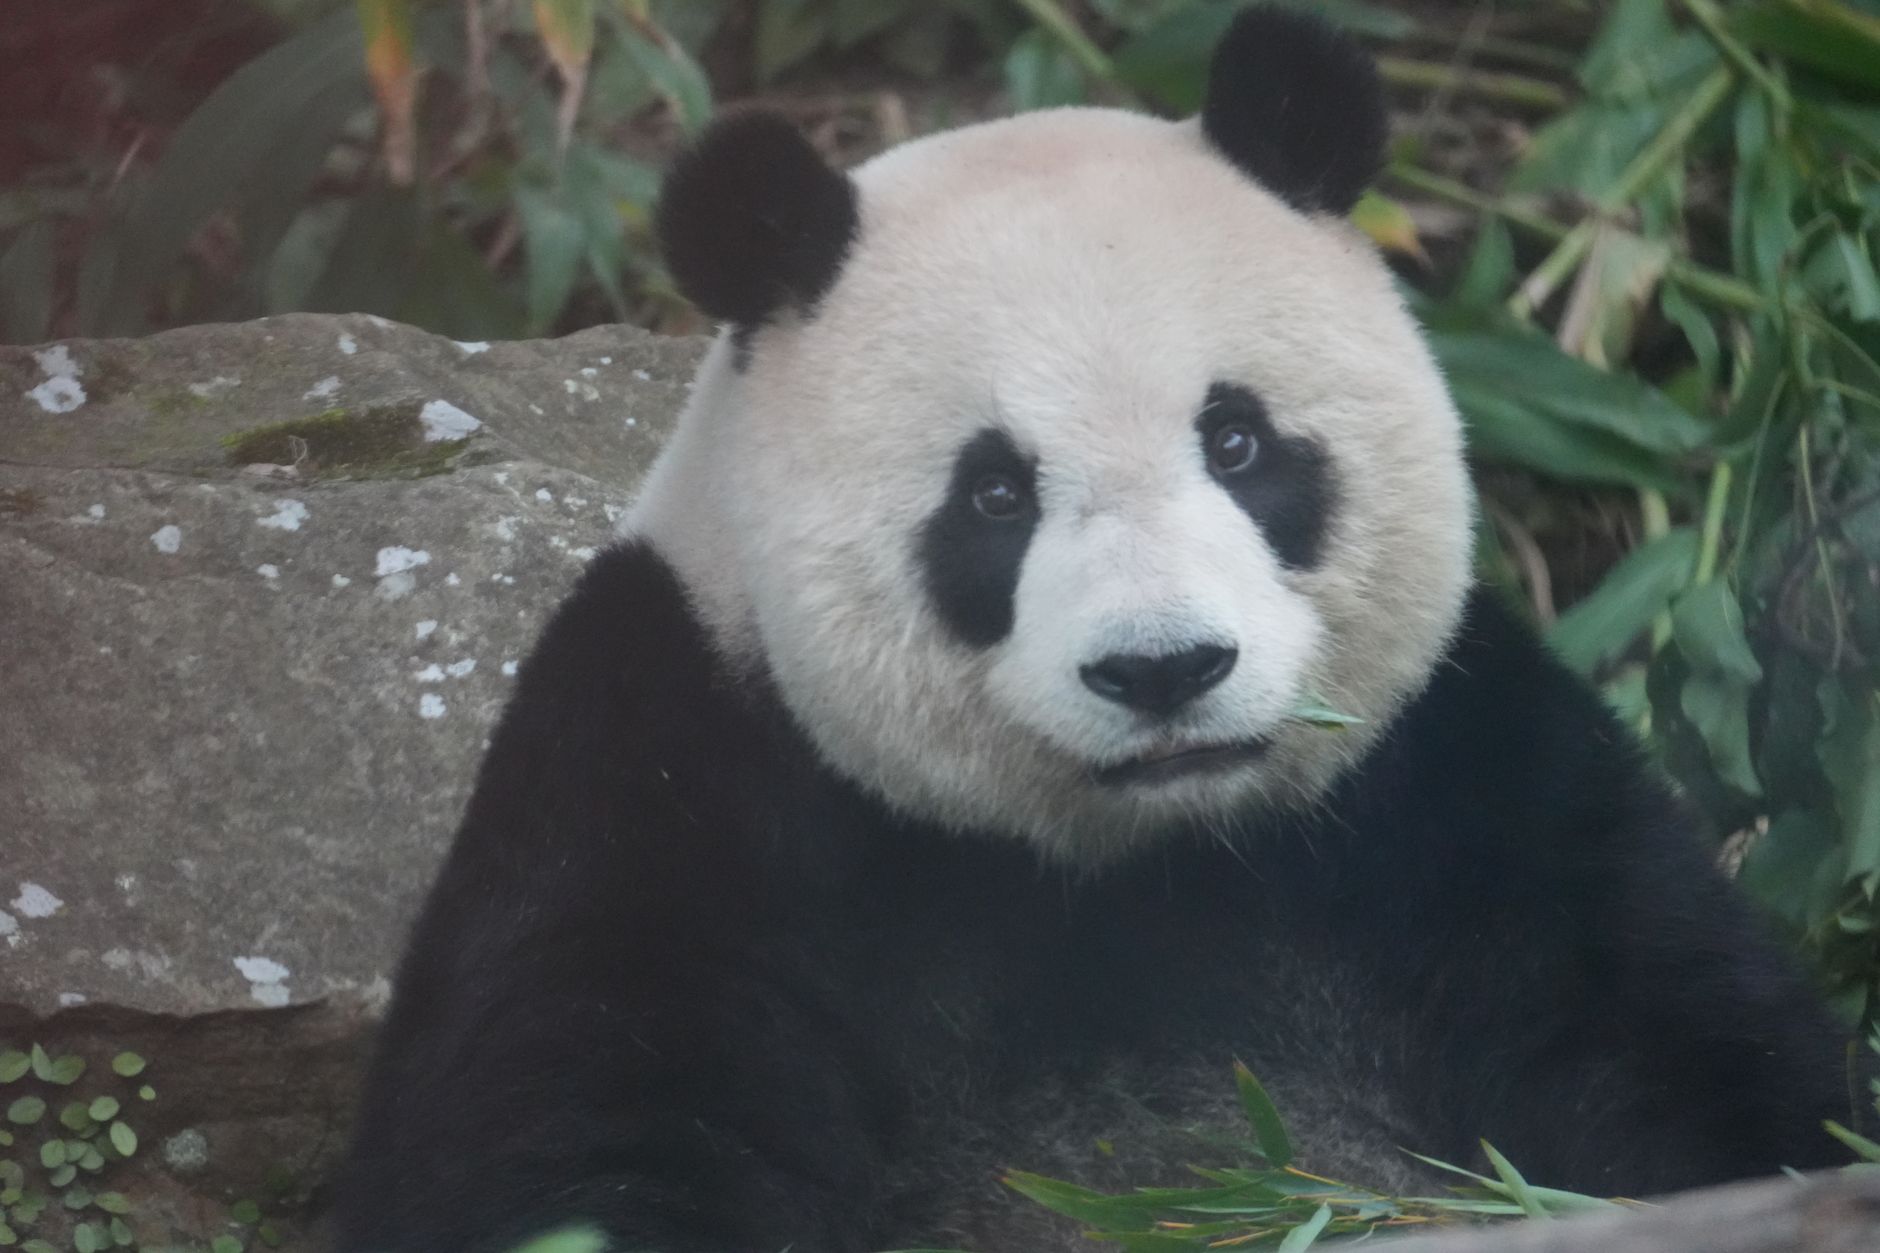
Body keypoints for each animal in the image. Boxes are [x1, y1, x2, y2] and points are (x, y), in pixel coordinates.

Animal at [331, 8, 1856, 1252]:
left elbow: (1700, 1055)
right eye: (995, 494)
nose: (1162, 667)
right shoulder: (668, 775)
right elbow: (577, 1130)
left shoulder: (1464, 785)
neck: (1135, 861)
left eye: (1237, 441)